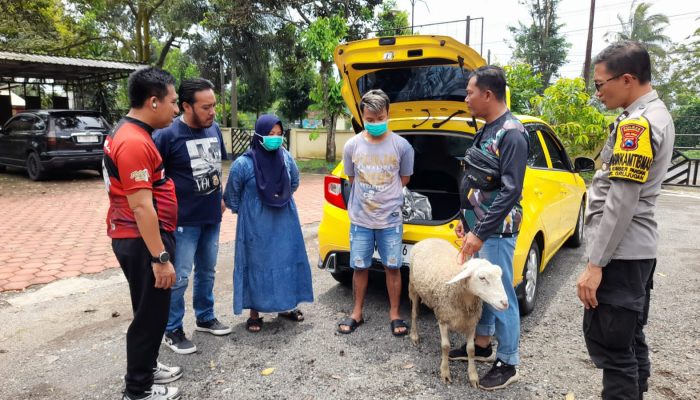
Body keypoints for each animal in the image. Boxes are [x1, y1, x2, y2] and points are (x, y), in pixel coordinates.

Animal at [404, 239, 508, 386]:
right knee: (414, 313)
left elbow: (471, 349)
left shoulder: (471, 322)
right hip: (413, 285)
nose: (505, 303)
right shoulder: (443, 317)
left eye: (500, 275)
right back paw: (414, 335)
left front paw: (473, 376)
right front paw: (445, 372)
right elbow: (445, 346)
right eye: (482, 278)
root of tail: (429, 238)